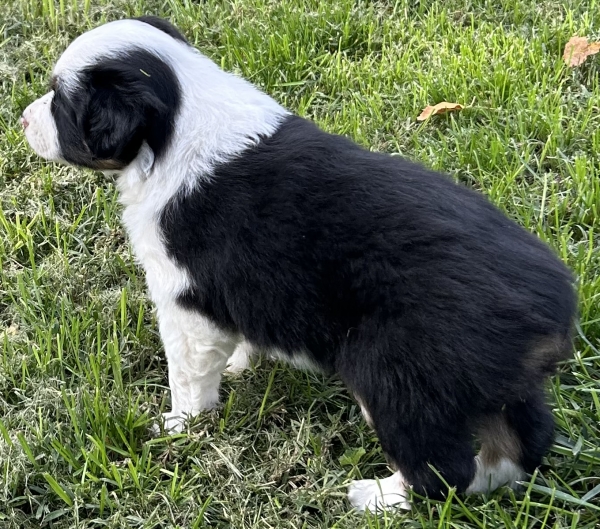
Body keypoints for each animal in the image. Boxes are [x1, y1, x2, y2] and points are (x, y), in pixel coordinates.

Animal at [22, 17, 576, 512]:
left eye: (61, 103)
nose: (24, 120)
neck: (179, 121)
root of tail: (553, 309)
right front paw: (238, 364)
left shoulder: (183, 301)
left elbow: (188, 377)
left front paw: (178, 427)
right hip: (496, 388)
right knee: (520, 446)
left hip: (397, 376)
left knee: (441, 468)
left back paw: (377, 498)